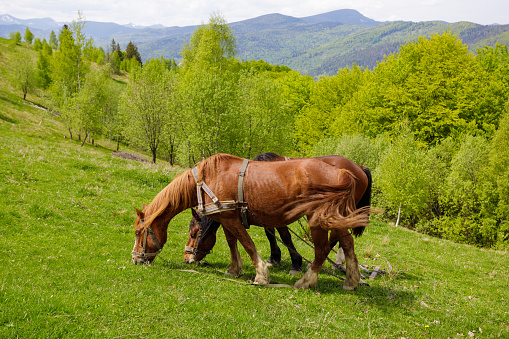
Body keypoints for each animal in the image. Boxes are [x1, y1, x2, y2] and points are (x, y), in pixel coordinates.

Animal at [131, 154, 370, 290]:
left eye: (138, 233)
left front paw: (261, 275)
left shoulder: (232, 219)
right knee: (347, 242)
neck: (207, 180)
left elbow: (248, 244)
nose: (135, 259)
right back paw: (351, 280)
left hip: (317, 220)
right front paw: (234, 269)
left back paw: (306, 281)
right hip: (336, 218)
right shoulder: (227, 218)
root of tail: (342, 171)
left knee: (321, 250)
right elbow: (232, 243)